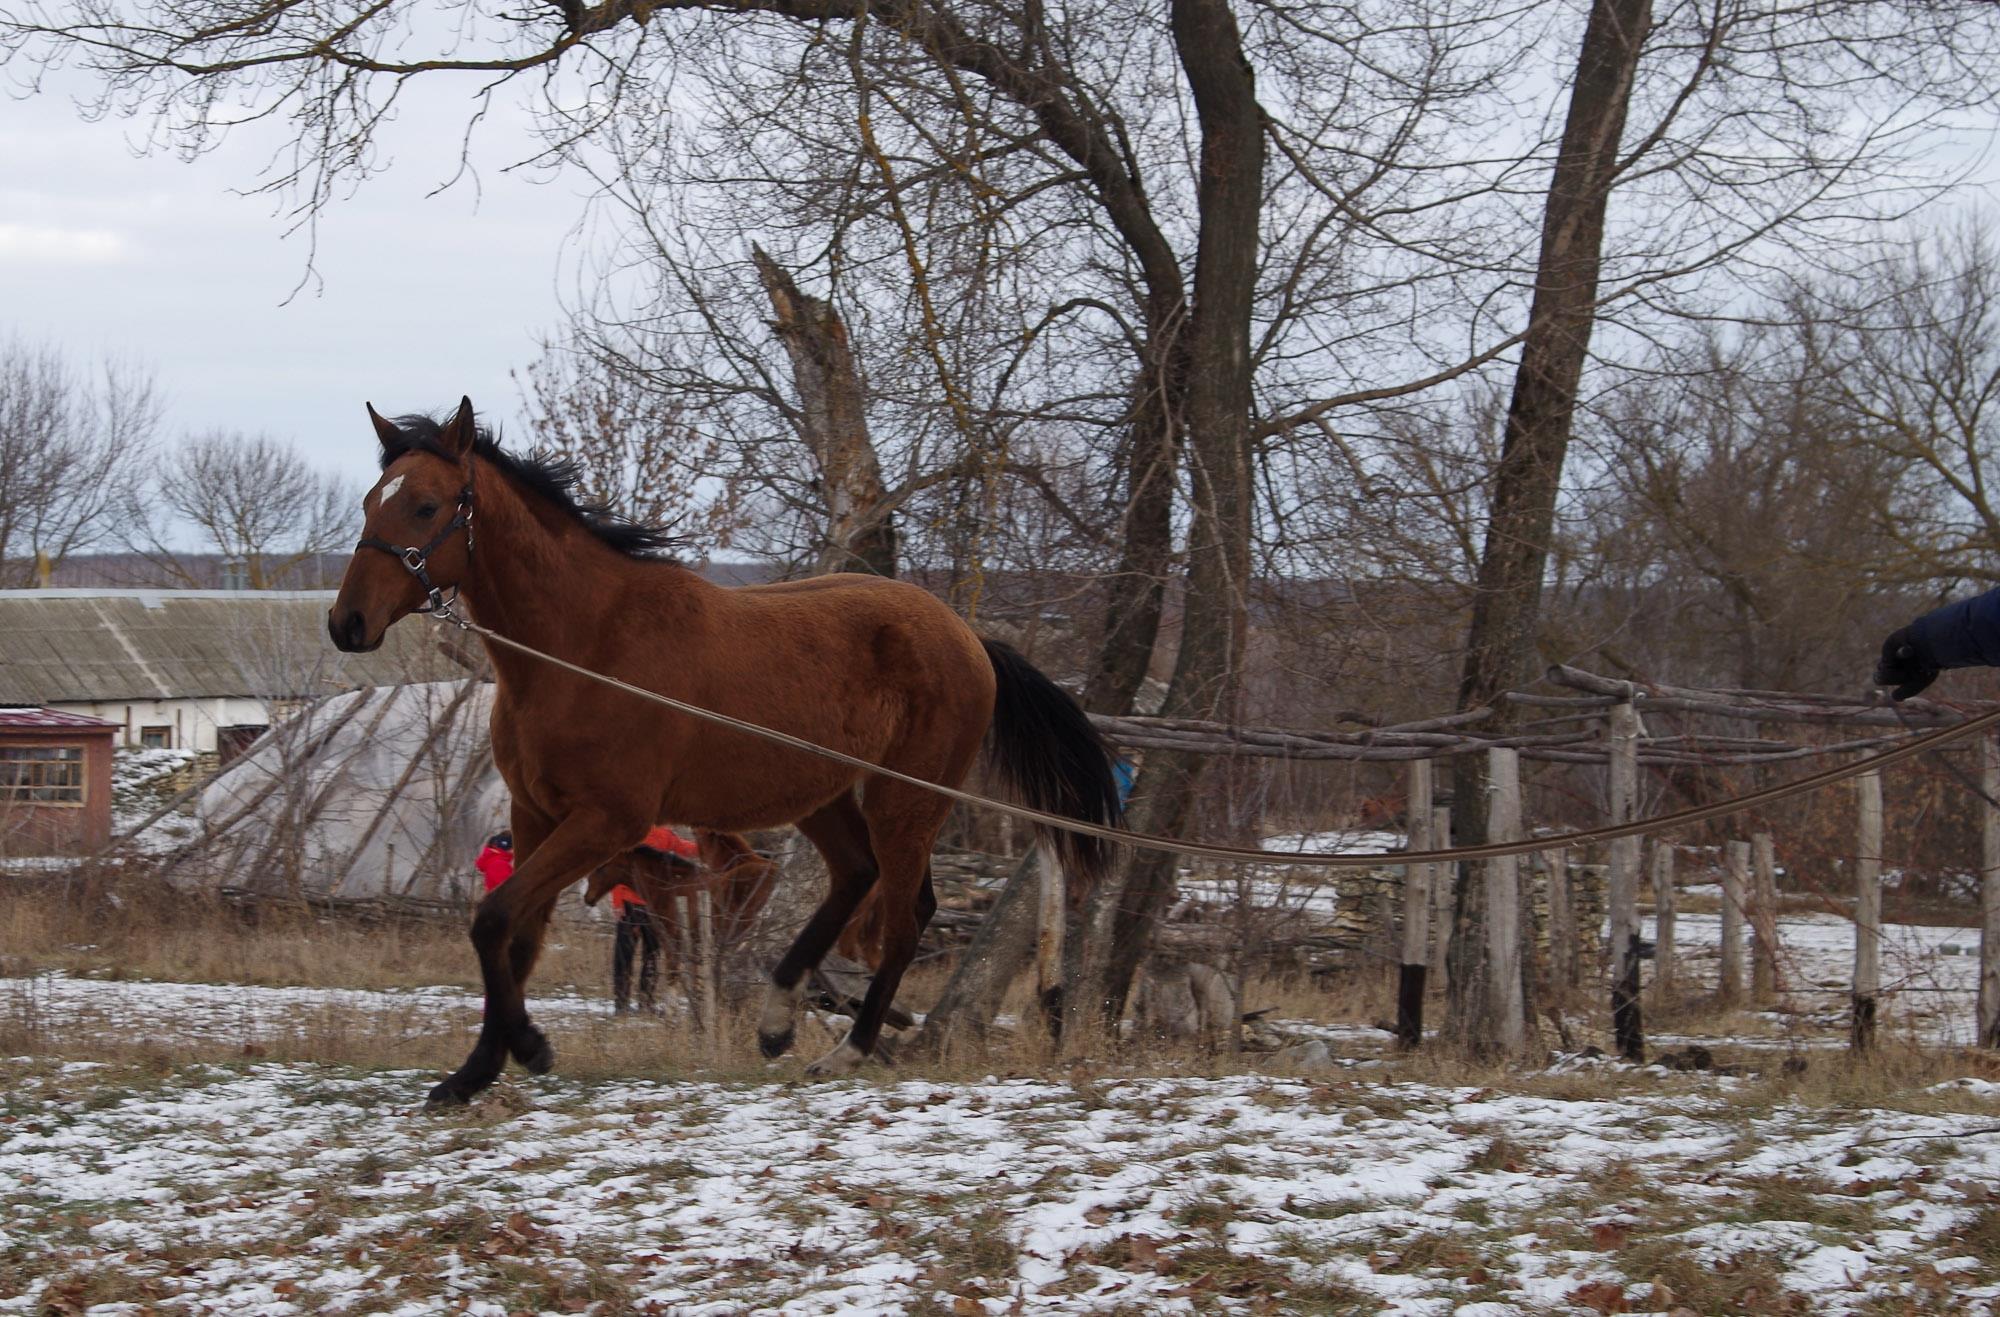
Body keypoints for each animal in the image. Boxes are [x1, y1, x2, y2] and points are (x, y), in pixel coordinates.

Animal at [320, 398, 1120, 1096]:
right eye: (368, 503)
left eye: (426, 506)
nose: (347, 623)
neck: (583, 647)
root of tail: (969, 638)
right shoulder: (534, 816)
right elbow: (514, 937)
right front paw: (476, 1071)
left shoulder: (607, 821)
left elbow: (493, 921)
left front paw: (526, 1047)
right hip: (819, 793)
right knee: (854, 876)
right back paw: (776, 1019)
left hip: (906, 800)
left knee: (905, 914)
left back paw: (844, 1051)